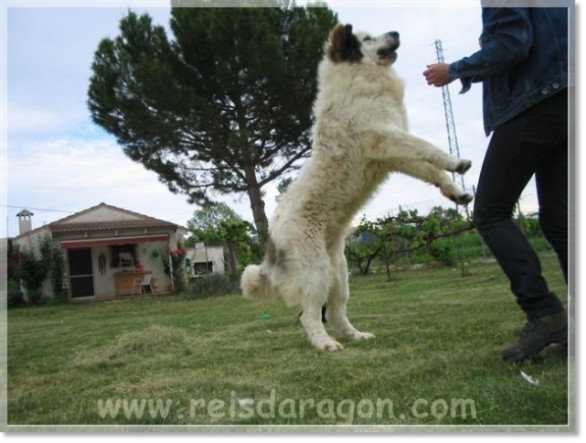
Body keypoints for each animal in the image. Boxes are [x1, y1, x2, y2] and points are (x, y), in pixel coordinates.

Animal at [240, 24, 472, 352]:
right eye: (367, 39)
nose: (395, 31)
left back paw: (356, 336)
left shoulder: (394, 155)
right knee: (309, 315)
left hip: (339, 274)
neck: (360, 77)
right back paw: (326, 345)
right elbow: (428, 148)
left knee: (336, 314)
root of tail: (271, 238)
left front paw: (456, 192)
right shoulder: (387, 137)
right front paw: (457, 161)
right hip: (317, 273)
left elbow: (431, 169)